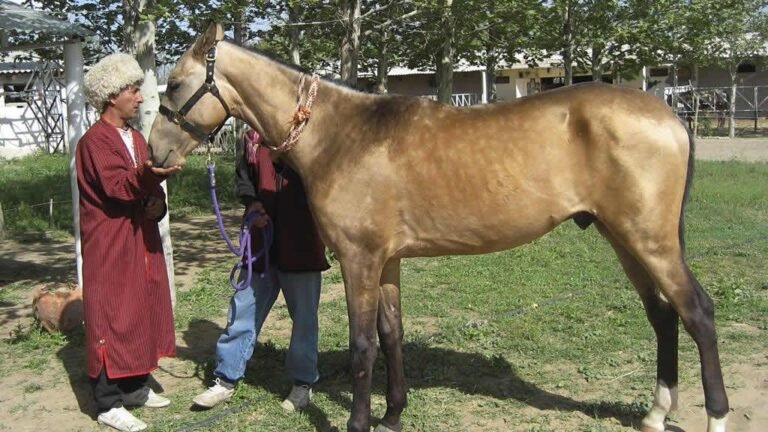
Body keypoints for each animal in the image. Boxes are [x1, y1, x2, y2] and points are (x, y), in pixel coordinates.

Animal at [147, 23, 729, 432]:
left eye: (173, 84)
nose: (155, 154)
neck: (343, 135)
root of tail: (671, 117)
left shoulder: (359, 259)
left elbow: (363, 345)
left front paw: (359, 421)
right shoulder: (387, 261)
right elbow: (392, 335)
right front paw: (392, 414)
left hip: (650, 241)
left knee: (696, 312)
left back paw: (716, 414)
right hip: (625, 239)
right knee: (662, 316)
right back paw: (654, 413)